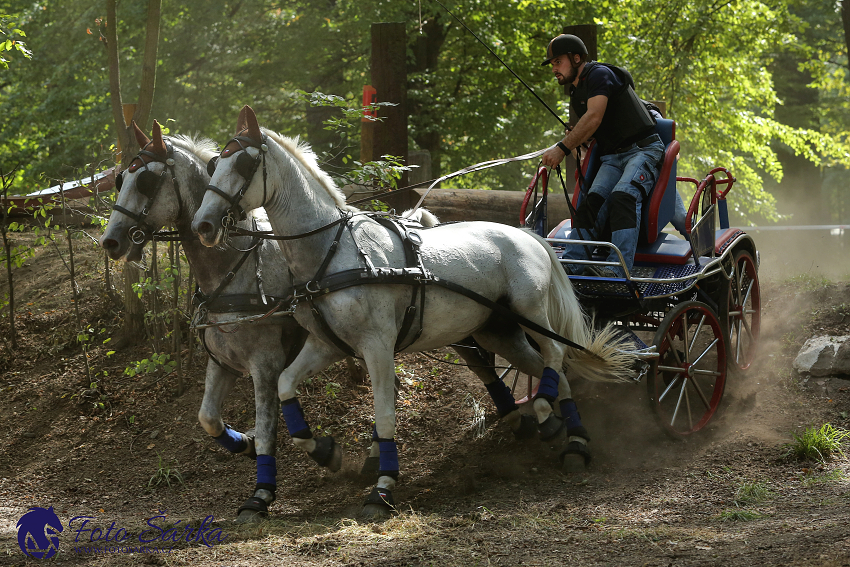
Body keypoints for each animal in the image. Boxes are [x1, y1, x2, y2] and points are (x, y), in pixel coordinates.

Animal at [190, 106, 628, 520]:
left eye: (243, 164)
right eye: (213, 166)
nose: (203, 225)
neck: (333, 251)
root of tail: (528, 235)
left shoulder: (377, 346)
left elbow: (385, 414)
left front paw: (382, 490)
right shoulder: (326, 344)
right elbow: (285, 386)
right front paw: (324, 451)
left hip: (531, 313)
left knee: (556, 354)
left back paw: (548, 416)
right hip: (498, 332)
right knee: (550, 369)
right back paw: (570, 436)